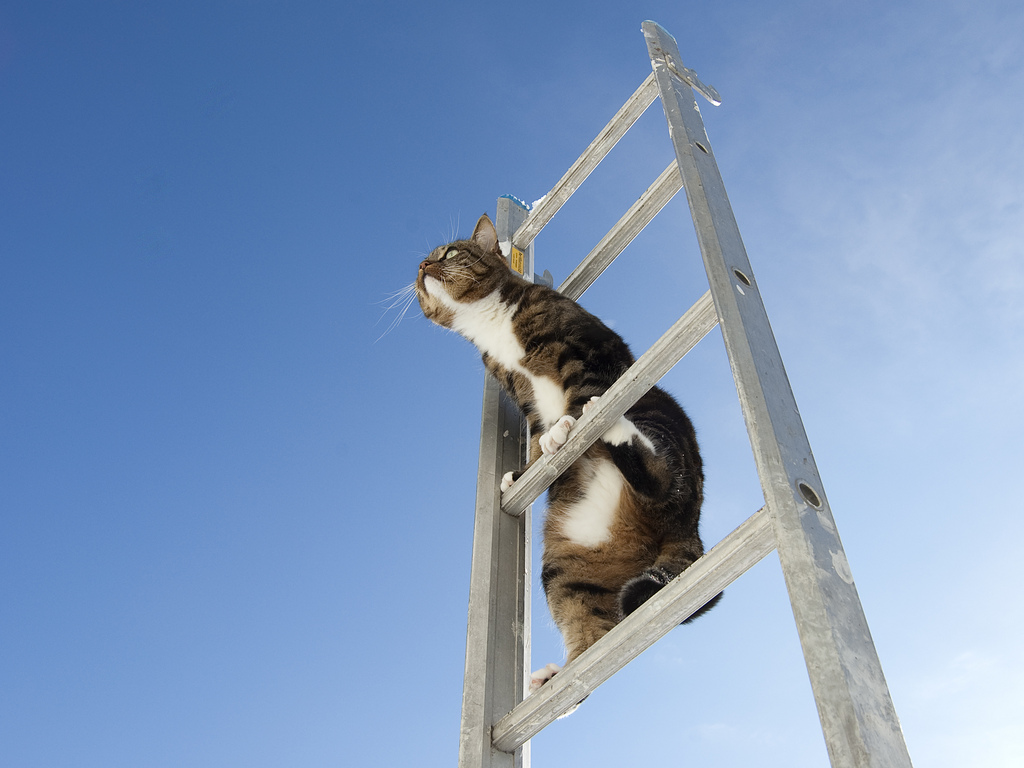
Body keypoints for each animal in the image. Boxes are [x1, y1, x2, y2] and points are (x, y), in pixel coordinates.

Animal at [415, 214, 720, 696]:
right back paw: (559, 675)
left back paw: (609, 424)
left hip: (657, 411)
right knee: (594, 631)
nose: (423, 264)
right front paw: (527, 468)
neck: (493, 327)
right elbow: (537, 430)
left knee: (662, 478)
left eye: (448, 252)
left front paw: (565, 427)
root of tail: (691, 529)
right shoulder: (522, 394)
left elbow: (577, 390)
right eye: (420, 265)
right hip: (566, 571)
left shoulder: (586, 348)